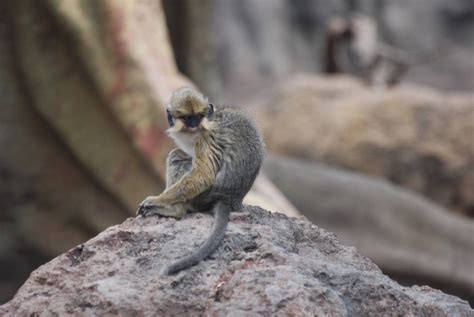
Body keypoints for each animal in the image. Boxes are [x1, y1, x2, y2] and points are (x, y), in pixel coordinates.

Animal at [137, 86, 264, 274]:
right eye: (188, 118)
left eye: (197, 117)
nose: (193, 126)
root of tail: (229, 198)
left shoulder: (206, 138)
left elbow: (203, 175)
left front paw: (157, 200)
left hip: (202, 198)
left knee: (176, 157)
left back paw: (176, 211)